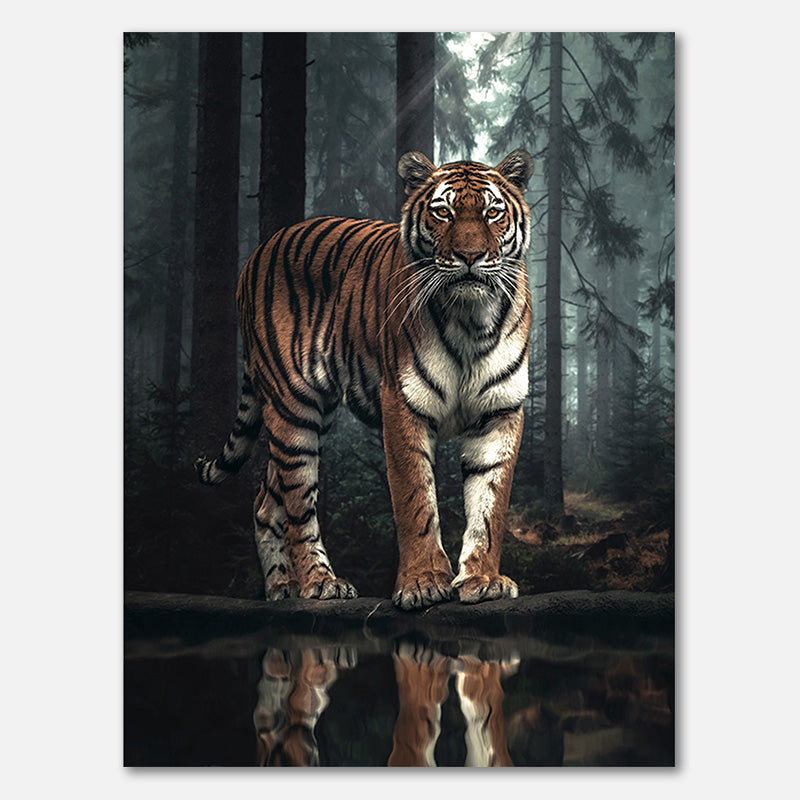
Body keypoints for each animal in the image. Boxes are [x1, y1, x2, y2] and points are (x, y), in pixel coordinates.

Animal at [195, 149, 534, 610]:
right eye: (442, 212)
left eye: (492, 212)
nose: (470, 256)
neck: (471, 318)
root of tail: (259, 251)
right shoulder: (402, 403)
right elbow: (415, 499)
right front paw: (423, 583)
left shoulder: (500, 411)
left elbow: (490, 504)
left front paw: (482, 580)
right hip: (293, 408)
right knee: (297, 504)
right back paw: (319, 583)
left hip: (312, 414)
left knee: (267, 500)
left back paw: (281, 588)